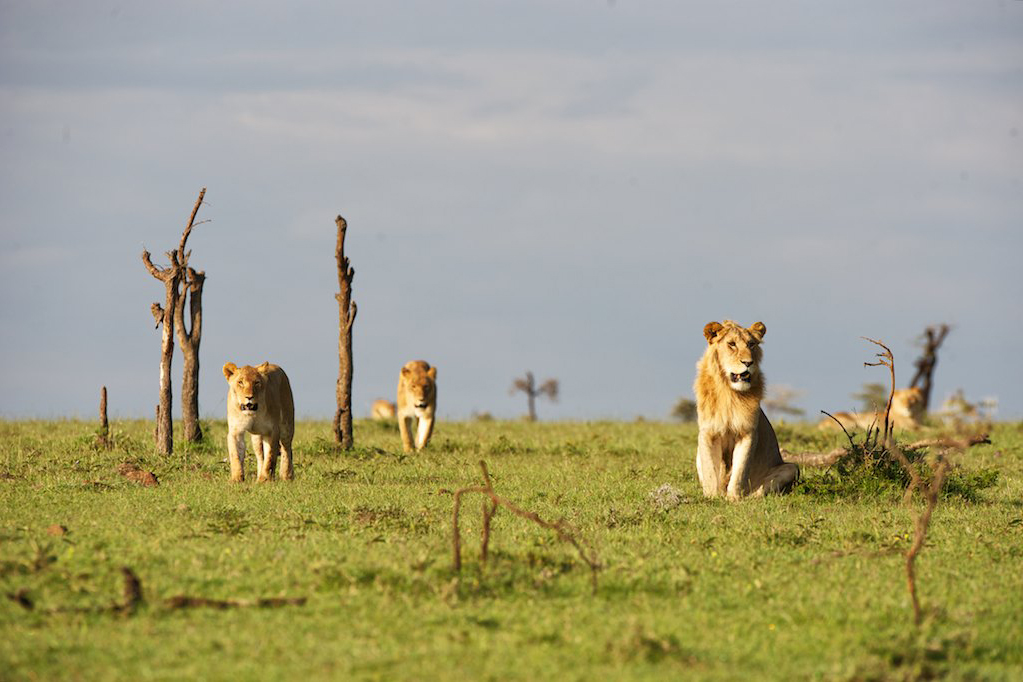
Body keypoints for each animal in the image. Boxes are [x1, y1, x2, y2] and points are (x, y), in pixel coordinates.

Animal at [693, 320, 799, 500]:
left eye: (751, 344)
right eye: (731, 344)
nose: (748, 363)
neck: (729, 392)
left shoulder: (748, 433)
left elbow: (740, 470)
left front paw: (733, 498)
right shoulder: (708, 433)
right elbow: (710, 470)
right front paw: (712, 497)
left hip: (791, 468)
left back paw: (748, 498)